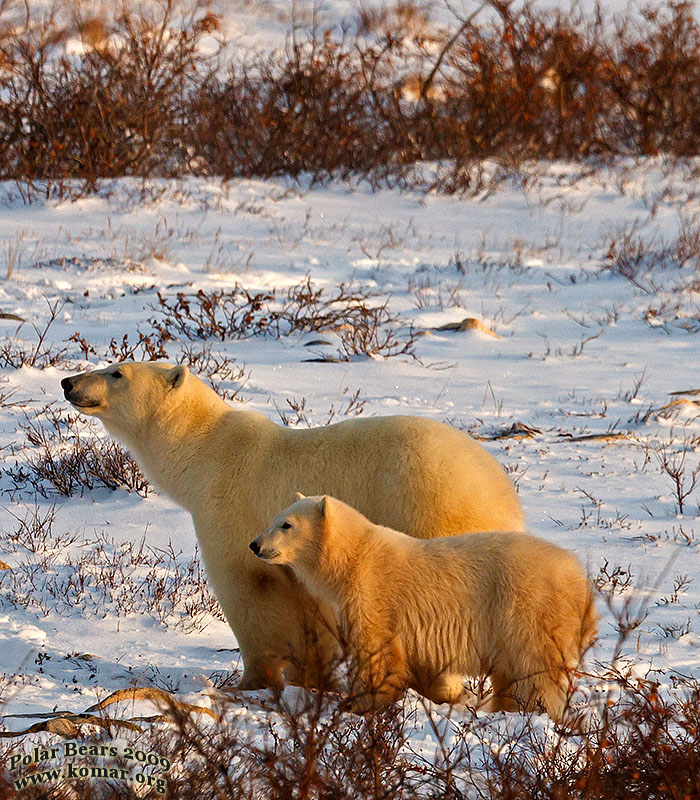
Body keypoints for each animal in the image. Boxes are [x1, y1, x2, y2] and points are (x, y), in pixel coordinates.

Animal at [63, 360, 524, 688]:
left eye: (116, 372)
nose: (68, 381)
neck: (206, 451)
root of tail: (503, 498)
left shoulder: (230, 508)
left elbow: (251, 594)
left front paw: (250, 682)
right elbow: (309, 611)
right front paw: (314, 679)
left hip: (426, 507)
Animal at [252, 494, 596, 720]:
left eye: (286, 524)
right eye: (273, 519)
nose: (255, 545)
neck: (355, 557)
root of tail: (579, 580)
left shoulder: (373, 594)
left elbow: (376, 650)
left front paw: (360, 703)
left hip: (525, 606)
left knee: (533, 667)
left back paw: (534, 711)